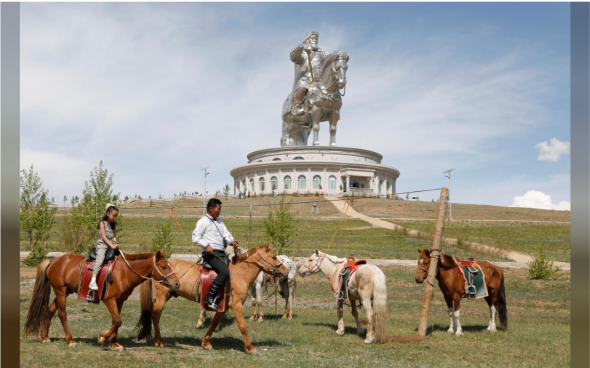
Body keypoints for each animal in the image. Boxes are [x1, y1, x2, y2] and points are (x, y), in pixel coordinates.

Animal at [23, 252, 180, 352]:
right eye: (164, 267)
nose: (177, 284)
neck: (124, 272)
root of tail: (53, 261)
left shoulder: (119, 301)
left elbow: (116, 321)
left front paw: (115, 344)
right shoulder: (109, 300)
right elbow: (118, 321)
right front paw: (103, 338)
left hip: (65, 291)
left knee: (49, 310)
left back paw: (45, 337)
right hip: (60, 291)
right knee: (62, 314)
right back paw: (70, 341)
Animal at [136, 246, 290, 356]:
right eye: (274, 257)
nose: (286, 271)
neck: (238, 275)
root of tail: (155, 267)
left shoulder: (224, 307)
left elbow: (214, 323)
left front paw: (206, 343)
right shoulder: (236, 306)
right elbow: (242, 326)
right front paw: (250, 348)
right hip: (161, 298)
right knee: (155, 316)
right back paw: (159, 342)